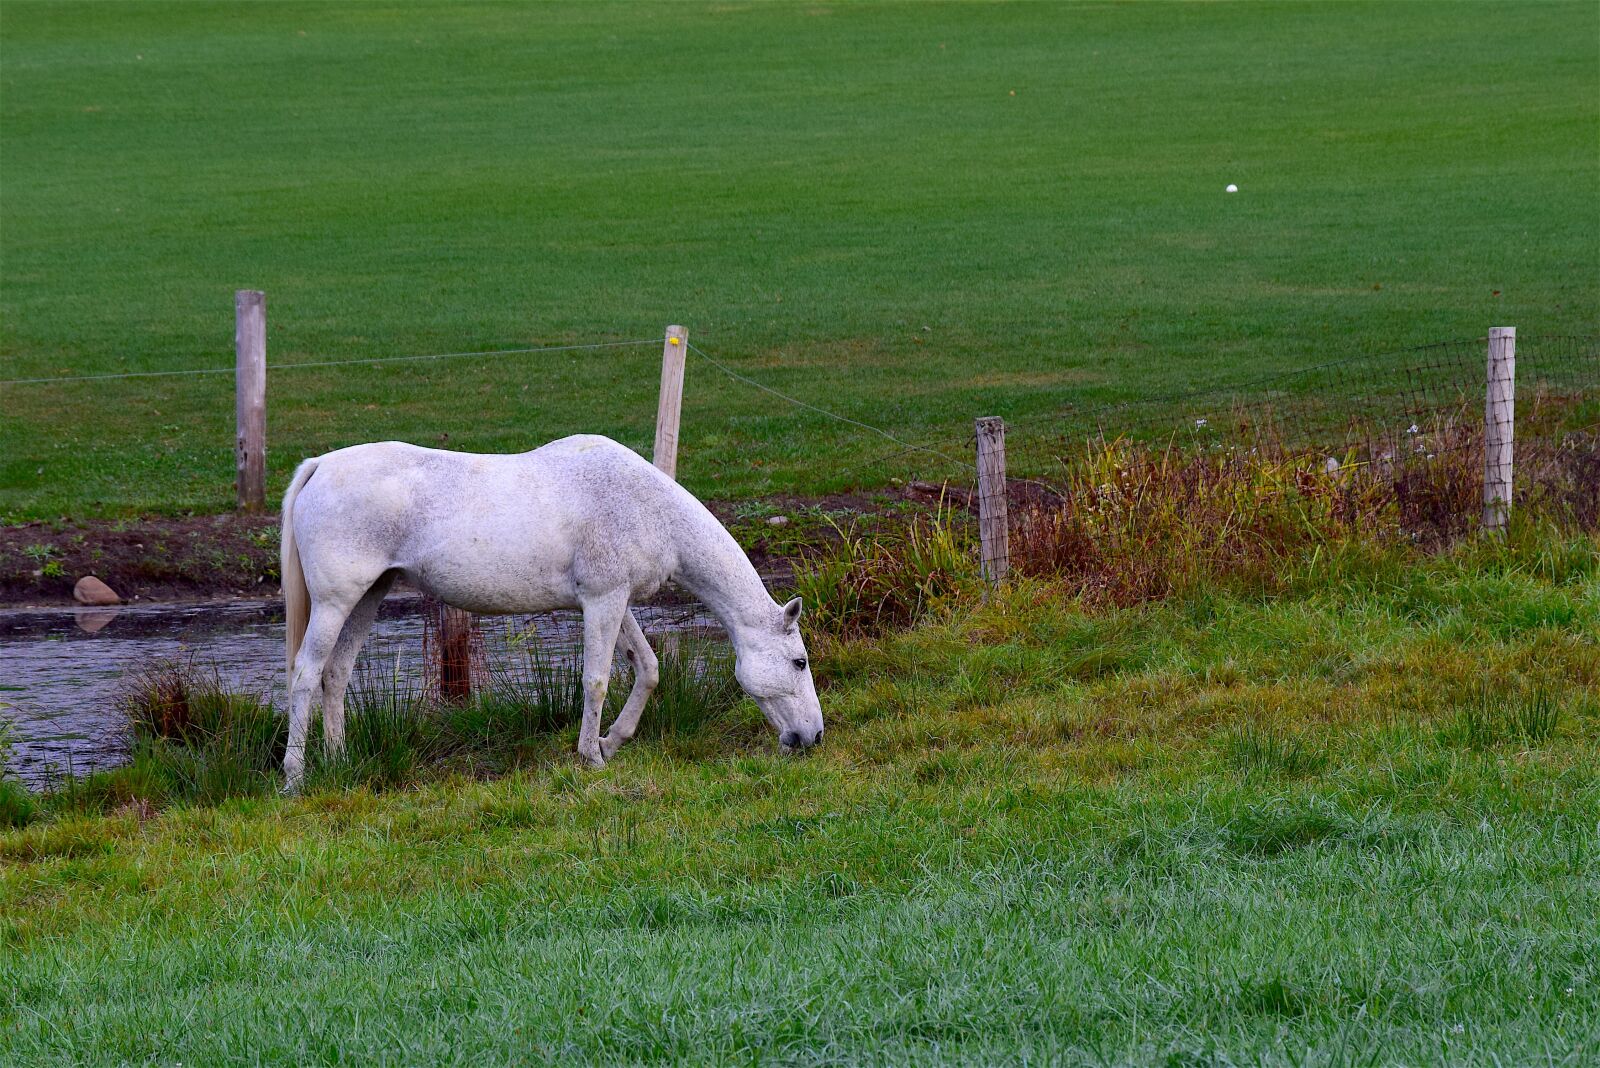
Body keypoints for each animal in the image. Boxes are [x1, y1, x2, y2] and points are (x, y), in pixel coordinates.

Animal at [278, 435, 823, 791]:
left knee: (336, 673)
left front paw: (611, 741)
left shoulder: (614, 599)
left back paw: (340, 760)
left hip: (368, 596)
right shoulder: (603, 601)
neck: (646, 507)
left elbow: (646, 668)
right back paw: (295, 776)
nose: (813, 737)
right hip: (335, 602)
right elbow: (597, 680)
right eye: (799, 662)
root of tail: (320, 465)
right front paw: (591, 758)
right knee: (306, 674)